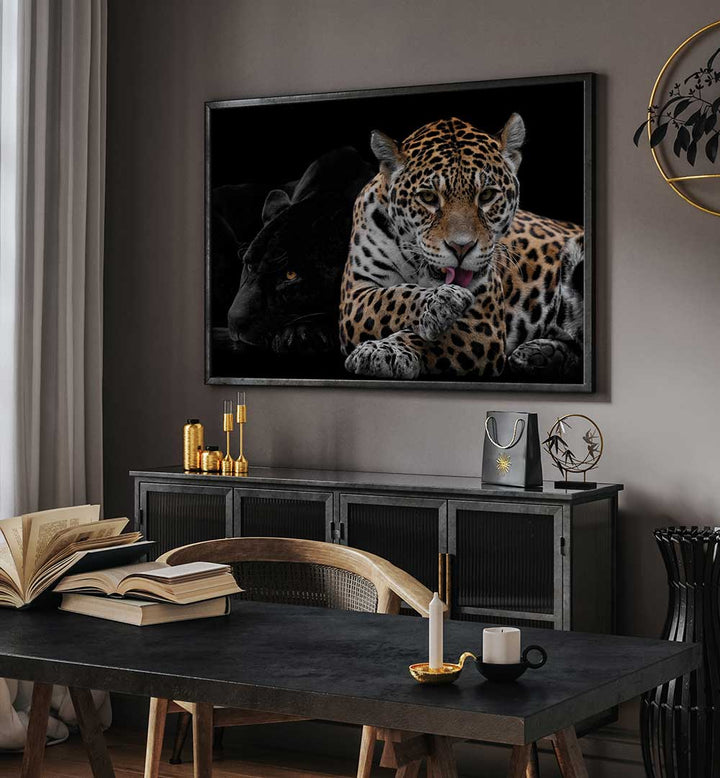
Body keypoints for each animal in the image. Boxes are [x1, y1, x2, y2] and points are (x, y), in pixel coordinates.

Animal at [338, 114, 584, 383]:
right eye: (428, 197)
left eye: (487, 195)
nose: (461, 247)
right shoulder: (355, 295)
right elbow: (392, 297)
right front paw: (440, 303)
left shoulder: (483, 323)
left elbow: (429, 338)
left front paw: (386, 349)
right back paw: (540, 355)